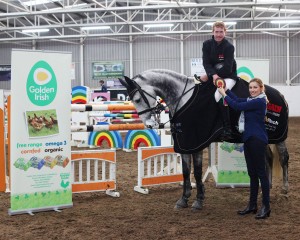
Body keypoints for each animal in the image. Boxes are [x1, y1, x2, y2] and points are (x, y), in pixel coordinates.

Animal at [118, 69, 290, 210]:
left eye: (137, 99)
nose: (149, 125)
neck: (183, 98)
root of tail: (280, 95)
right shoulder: (184, 144)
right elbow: (186, 171)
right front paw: (184, 199)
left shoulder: (196, 142)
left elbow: (198, 172)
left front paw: (199, 200)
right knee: (268, 158)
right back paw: (266, 189)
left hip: (277, 137)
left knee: (283, 158)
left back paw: (285, 190)